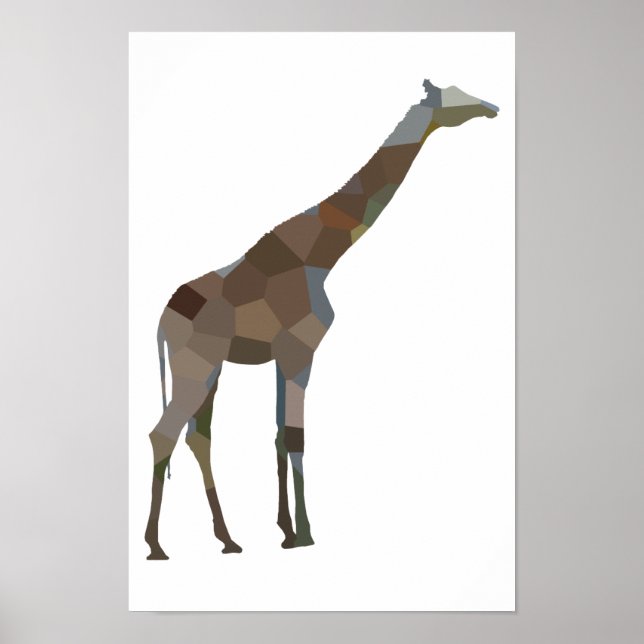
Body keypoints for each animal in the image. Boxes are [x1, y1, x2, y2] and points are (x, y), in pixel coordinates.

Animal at [144, 79, 499, 560]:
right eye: (454, 94)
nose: (492, 107)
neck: (322, 254)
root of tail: (163, 321)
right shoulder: (301, 349)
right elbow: (296, 436)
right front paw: (305, 536)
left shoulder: (284, 354)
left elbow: (279, 434)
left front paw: (283, 530)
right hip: (195, 364)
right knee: (163, 434)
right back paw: (156, 546)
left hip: (211, 367)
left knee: (198, 436)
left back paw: (228, 539)